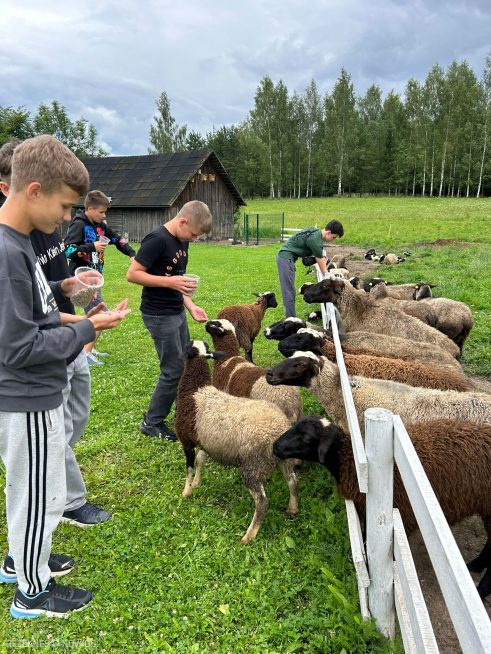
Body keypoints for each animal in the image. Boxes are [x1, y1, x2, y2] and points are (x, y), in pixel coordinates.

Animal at [174, 340, 299, 544]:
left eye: (186, 347)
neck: (196, 391)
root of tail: (279, 429)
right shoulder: (207, 441)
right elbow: (200, 460)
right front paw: (198, 483)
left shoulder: (186, 440)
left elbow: (189, 468)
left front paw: (187, 491)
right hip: (283, 460)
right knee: (293, 481)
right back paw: (292, 508)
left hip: (253, 467)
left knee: (262, 502)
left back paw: (249, 536)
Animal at [272, 415, 491, 600]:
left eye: (306, 436)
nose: (275, 446)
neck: (351, 463)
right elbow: (363, 538)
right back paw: (476, 565)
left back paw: (481, 591)